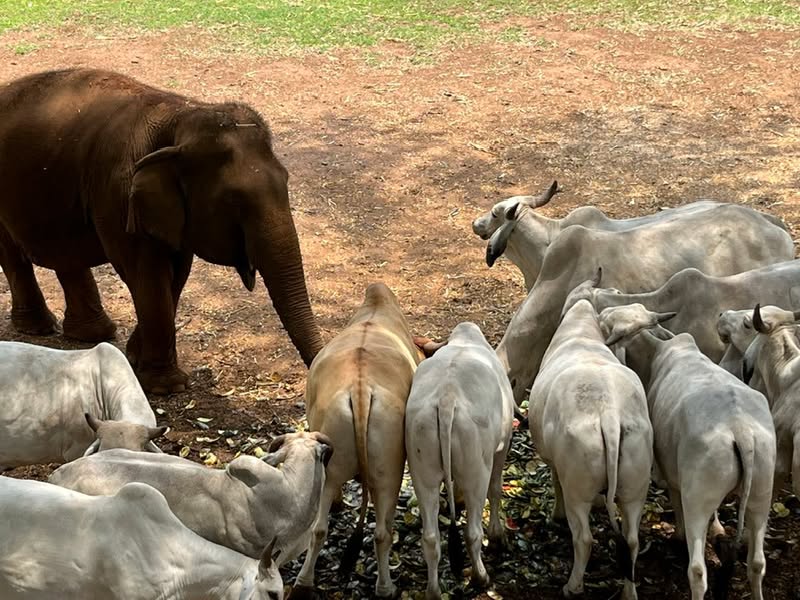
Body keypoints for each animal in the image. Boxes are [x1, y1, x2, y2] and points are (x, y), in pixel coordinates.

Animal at [0, 68, 323, 393]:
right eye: (233, 199)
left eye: (286, 180)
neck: (179, 117)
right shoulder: (117, 193)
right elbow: (147, 273)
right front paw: (167, 386)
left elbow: (176, 273)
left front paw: (134, 356)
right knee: (14, 254)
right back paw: (40, 328)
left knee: (66, 255)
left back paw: (93, 334)